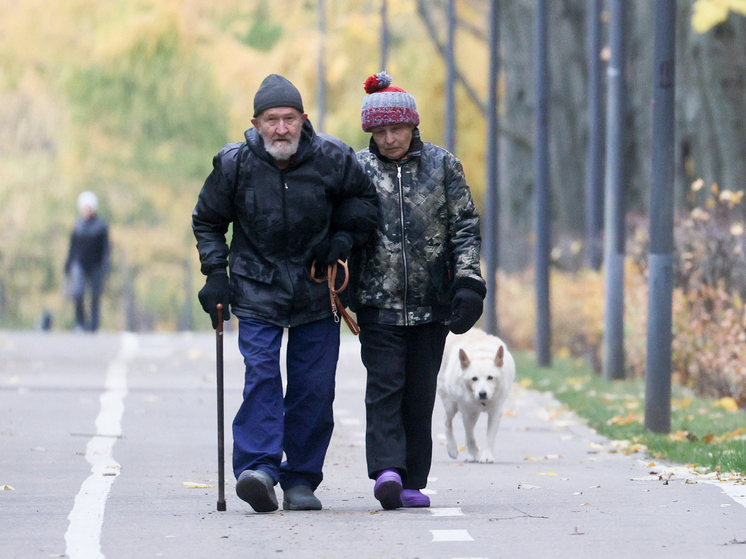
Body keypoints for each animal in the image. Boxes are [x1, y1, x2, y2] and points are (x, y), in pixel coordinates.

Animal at [436, 328, 512, 464]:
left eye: (490, 377)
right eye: (474, 378)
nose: (482, 393)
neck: (481, 354)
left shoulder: (496, 411)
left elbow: (490, 436)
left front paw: (486, 456)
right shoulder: (467, 410)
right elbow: (469, 434)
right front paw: (472, 453)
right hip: (450, 403)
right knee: (447, 420)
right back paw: (452, 448)